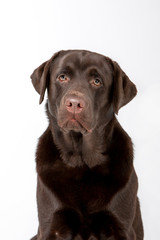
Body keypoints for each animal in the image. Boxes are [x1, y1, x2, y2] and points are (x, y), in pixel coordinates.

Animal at [30, 49, 144, 239]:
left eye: (97, 81)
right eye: (62, 77)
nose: (75, 103)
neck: (81, 161)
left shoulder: (122, 228)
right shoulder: (51, 227)